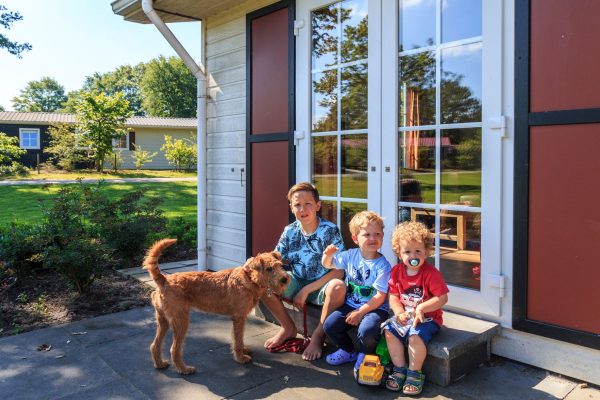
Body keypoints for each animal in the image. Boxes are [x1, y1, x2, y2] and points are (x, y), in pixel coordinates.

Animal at [143, 238, 288, 376]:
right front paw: (240, 357)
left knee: (154, 345)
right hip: (181, 322)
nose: (285, 279)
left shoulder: (240, 318)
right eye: (269, 269)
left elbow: (239, 338)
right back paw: (184, 369)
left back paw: (160, 363)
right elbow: (237, 339)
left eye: (280, 265)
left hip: (163, 321)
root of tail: (164, 280)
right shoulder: (239, 317)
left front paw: (243, 350)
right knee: (174, 349)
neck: (249, 278)